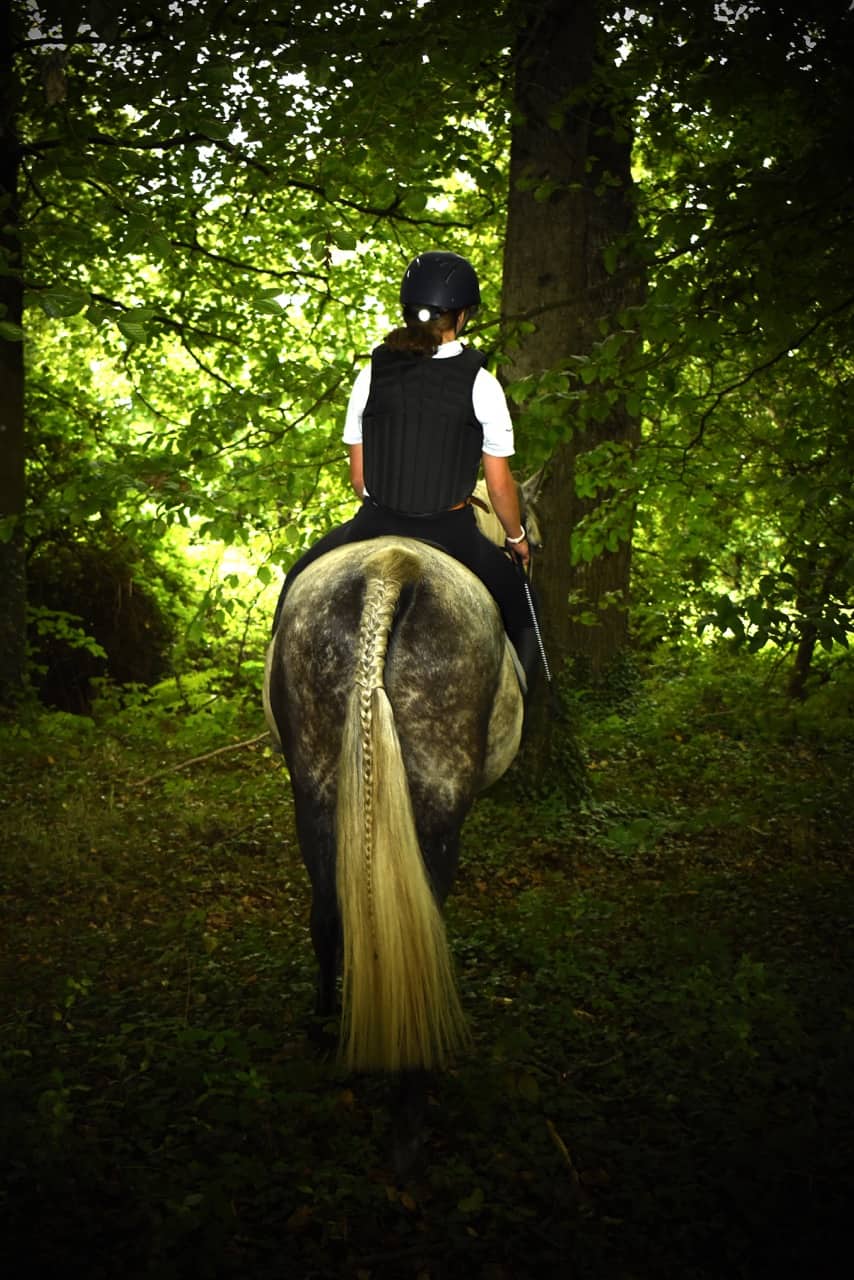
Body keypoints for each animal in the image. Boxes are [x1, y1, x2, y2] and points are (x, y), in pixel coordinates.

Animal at [263, 535, 524, 1077]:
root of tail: (389, 570)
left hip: (315, 792)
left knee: (326, 915)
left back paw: (325, 1023)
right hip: (440, 799)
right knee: (426, 913)